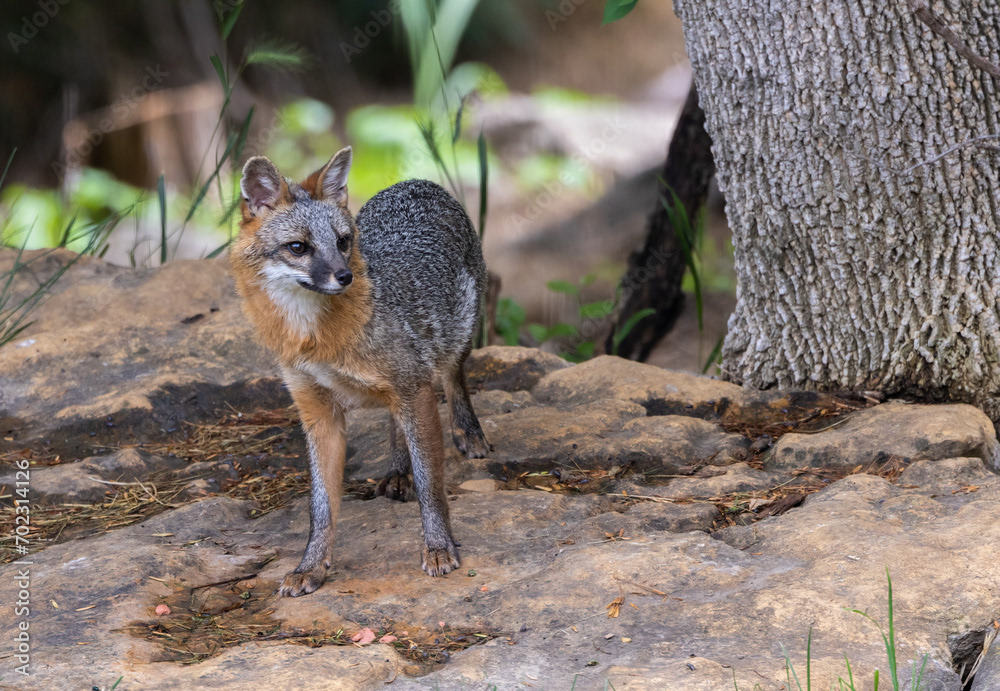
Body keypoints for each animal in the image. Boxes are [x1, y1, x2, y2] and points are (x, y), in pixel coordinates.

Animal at [231, 147, 491, 597]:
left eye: (342, 242)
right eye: (298, 247)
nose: (345, 276)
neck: (315, 337)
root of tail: (415, 181)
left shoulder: (413, 385)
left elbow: (432, 486)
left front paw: (439, 546)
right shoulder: (317, 411)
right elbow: (321, 507)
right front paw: (311, 566)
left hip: (456, 336)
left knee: (453, 377)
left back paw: (468, 432)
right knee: (396, 420)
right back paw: (398, 470)